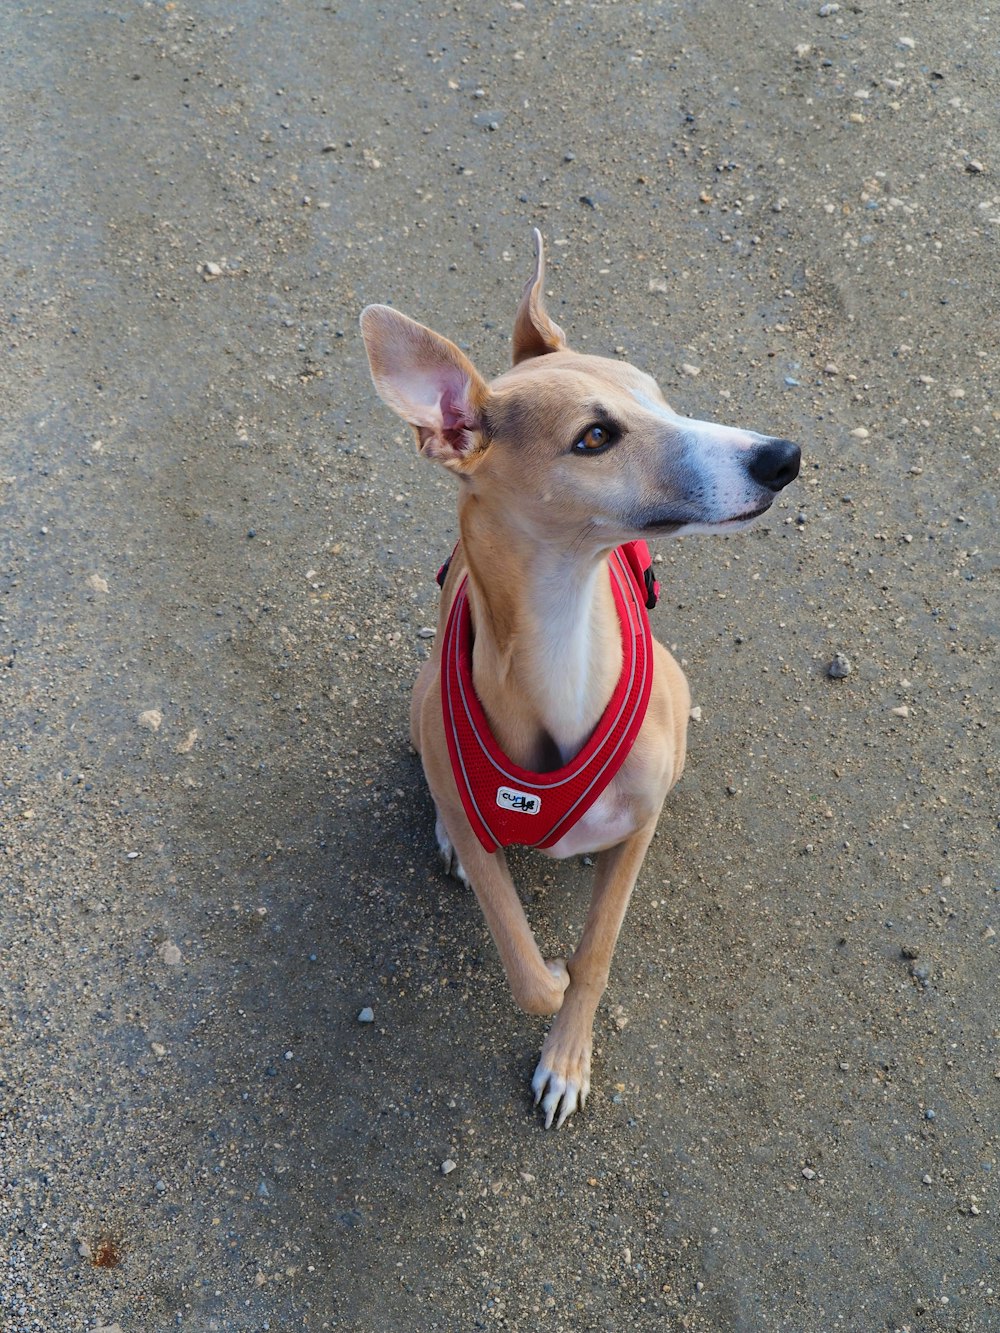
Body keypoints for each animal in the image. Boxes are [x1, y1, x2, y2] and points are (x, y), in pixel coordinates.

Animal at [360, 231, 800, 1125]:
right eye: (594, 437)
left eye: (660, 395)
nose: (783, 457)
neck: (563, 642)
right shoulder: (478, 810)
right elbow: (525, 961)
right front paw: (547, 980)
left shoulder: (637, 826)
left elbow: (595, 953)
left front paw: (566, 1057)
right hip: (422, 703)